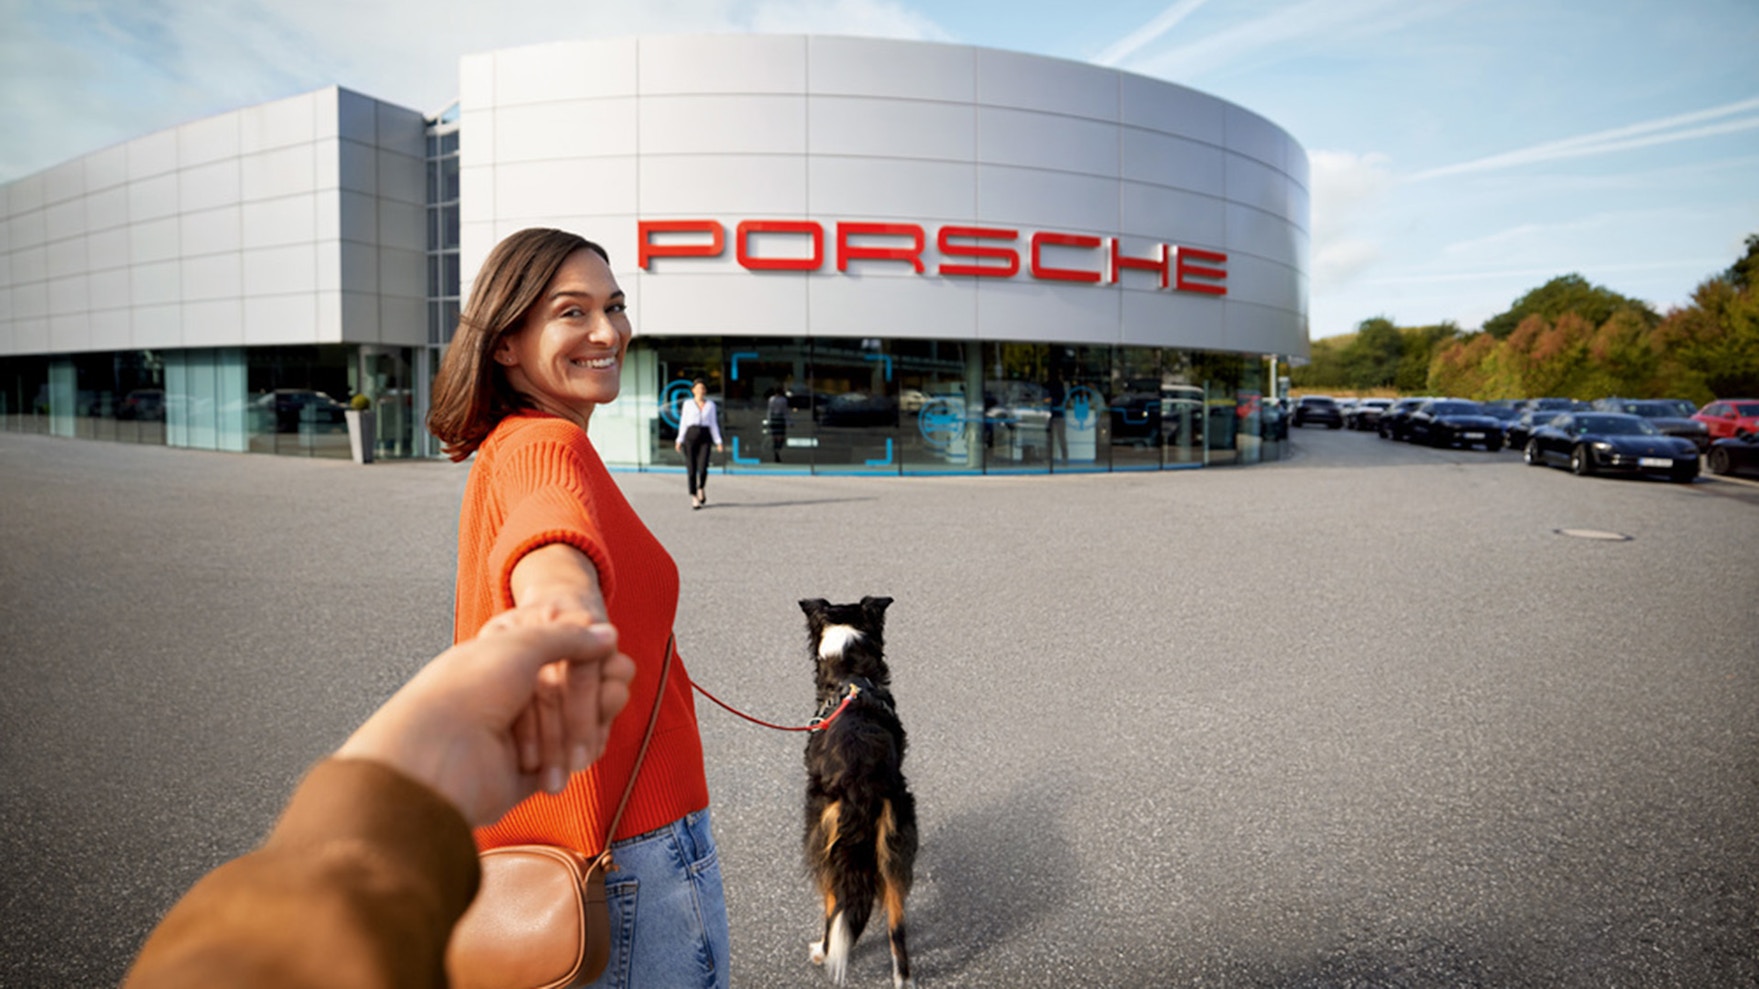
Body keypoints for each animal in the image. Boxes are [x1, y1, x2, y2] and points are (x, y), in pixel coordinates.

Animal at [805, 591, 928, 985]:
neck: (851, 675)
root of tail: (858, 782)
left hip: (822, 839)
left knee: (834, 908)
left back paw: (823, 950)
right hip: (895, 839)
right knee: (896, 926)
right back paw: (903, 978)